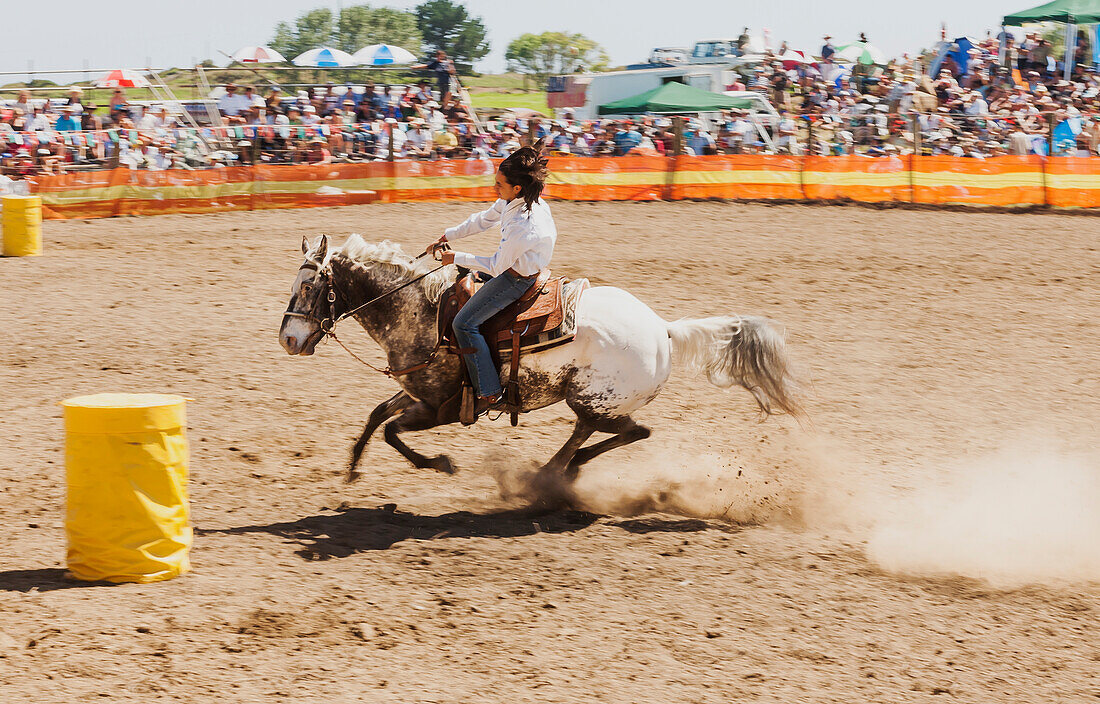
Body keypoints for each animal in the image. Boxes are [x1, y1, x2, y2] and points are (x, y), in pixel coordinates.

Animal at [279, 236, 805, 495]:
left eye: (308, 286)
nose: (287, 339)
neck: (424, 312)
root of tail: (664, 330)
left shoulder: (439, 409)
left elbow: (392, 432)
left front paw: (441, 464)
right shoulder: (415, 392)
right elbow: (375, 418)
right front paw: (351, 470)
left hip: (593, 398)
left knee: (624, 431)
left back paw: (550, 475)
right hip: (593, 401)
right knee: (609, 433)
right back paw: (561, 471)